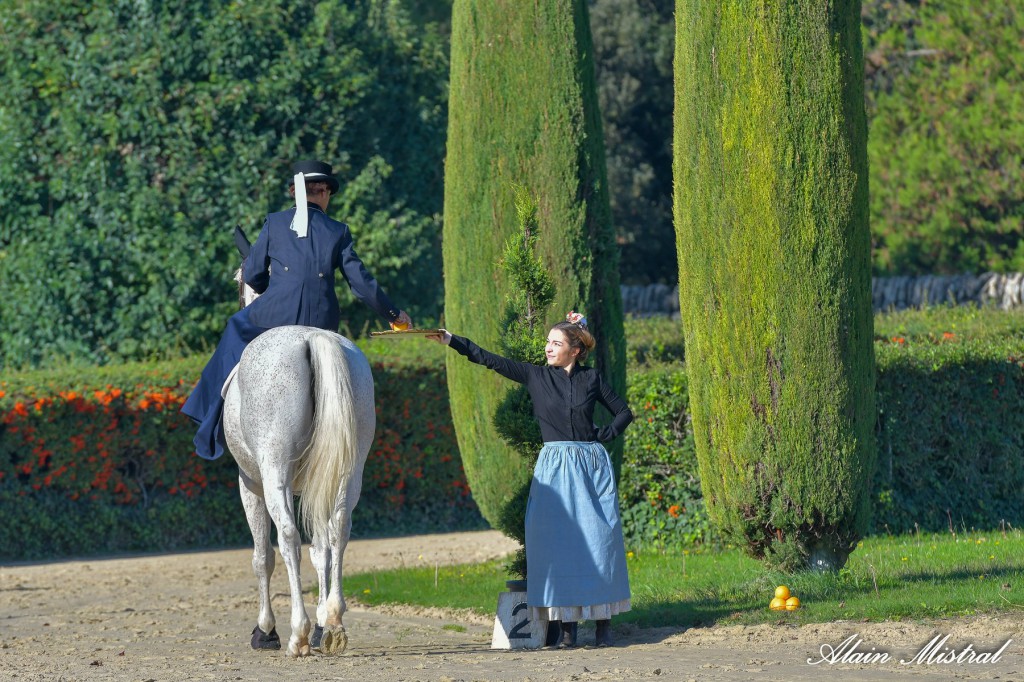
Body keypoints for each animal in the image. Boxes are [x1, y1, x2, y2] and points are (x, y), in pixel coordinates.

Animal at [220, 327, 376, 655]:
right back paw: (334, 622)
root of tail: (311, 337)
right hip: (347, 473)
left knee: (288, 538)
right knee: (339, 530)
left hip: (273, 473)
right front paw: (322, 624)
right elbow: (321, 552)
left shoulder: (251, 485)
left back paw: (298, 633)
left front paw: (266, 630)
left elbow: (263, 558)